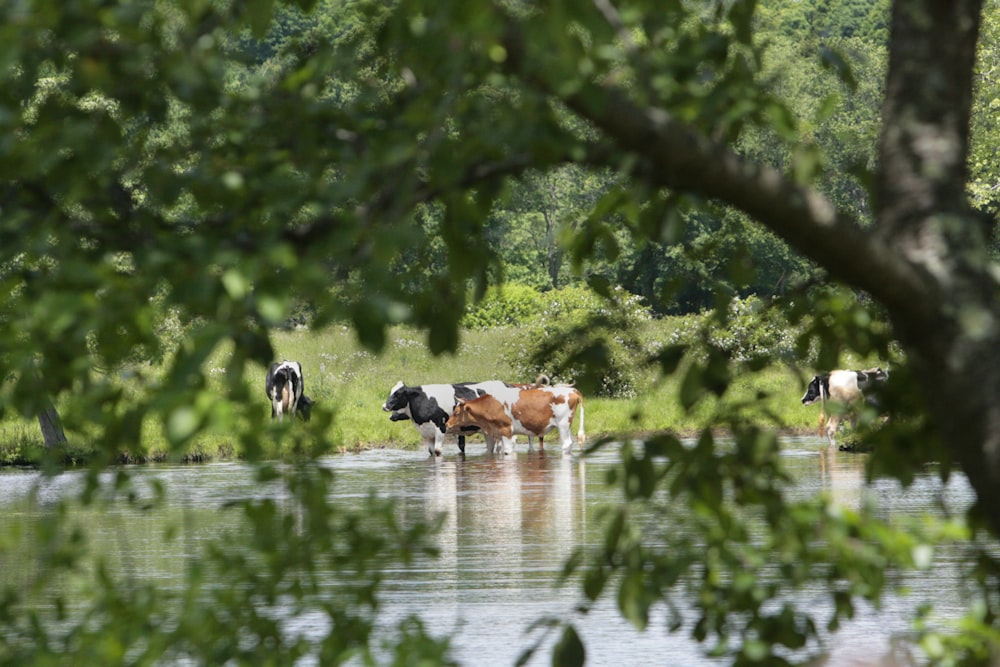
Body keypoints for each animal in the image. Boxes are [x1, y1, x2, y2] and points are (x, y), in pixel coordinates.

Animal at [446, 384, 584, 456]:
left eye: (456, 412)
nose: (447, 424)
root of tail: (572, 390)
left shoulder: (506, 430)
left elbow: (507, 451)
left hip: (563, 425)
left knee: (566, 444)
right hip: (567, 426)